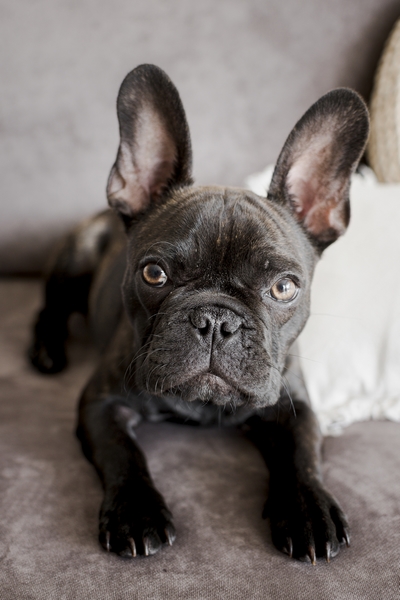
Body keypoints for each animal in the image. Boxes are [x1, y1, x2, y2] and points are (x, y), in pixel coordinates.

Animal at [29, 64, 370, 564]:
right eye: (154, 273)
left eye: (284, 287)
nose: (216, 321)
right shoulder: (101, 402)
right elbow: (123, 452)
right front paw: (137, 512)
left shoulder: (296, 405)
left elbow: (303, 454)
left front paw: (309, 509)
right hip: (76, 257)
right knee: (49, 309)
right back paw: (46, 352)